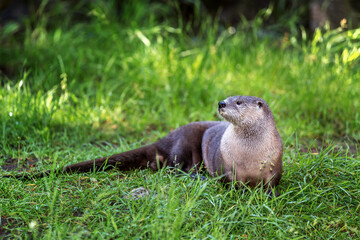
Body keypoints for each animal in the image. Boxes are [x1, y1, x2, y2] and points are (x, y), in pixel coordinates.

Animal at [3, 95, 284, 193]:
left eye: (239, 101)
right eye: (227, 97)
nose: (221, 103)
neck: (249, 155)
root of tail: (166, 138)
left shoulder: (274, 165)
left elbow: (272, 184)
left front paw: (269, 195)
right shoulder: (226, 166)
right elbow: (229, 183)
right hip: (184, 145)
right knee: (174, 168)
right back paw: (198, 177)